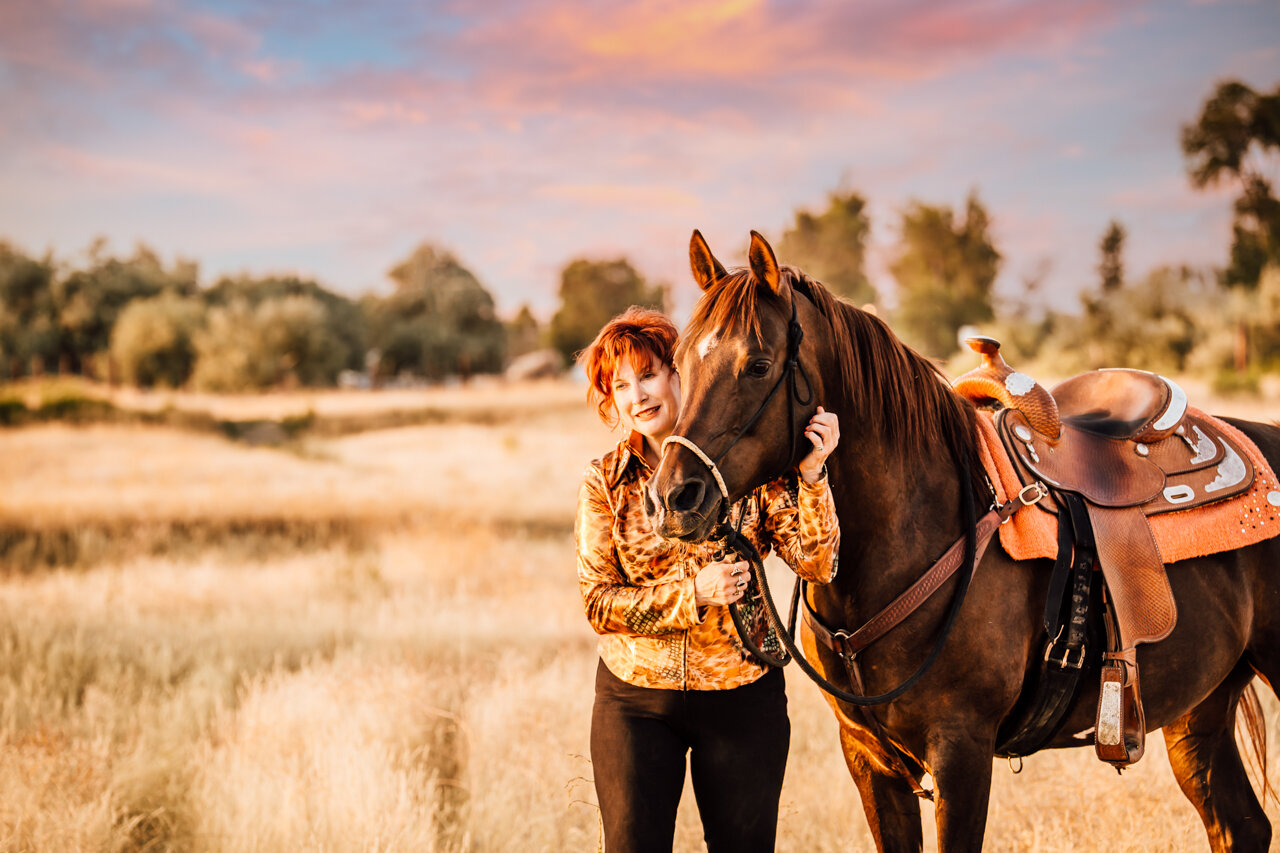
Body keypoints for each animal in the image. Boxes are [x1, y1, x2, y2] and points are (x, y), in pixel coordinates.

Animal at [650, 227, 1280, 850]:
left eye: (757, 365)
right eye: (678, 362)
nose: (673, 498)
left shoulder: (961, 752)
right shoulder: (868, 759)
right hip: (1200, 704)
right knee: (1239, 825)